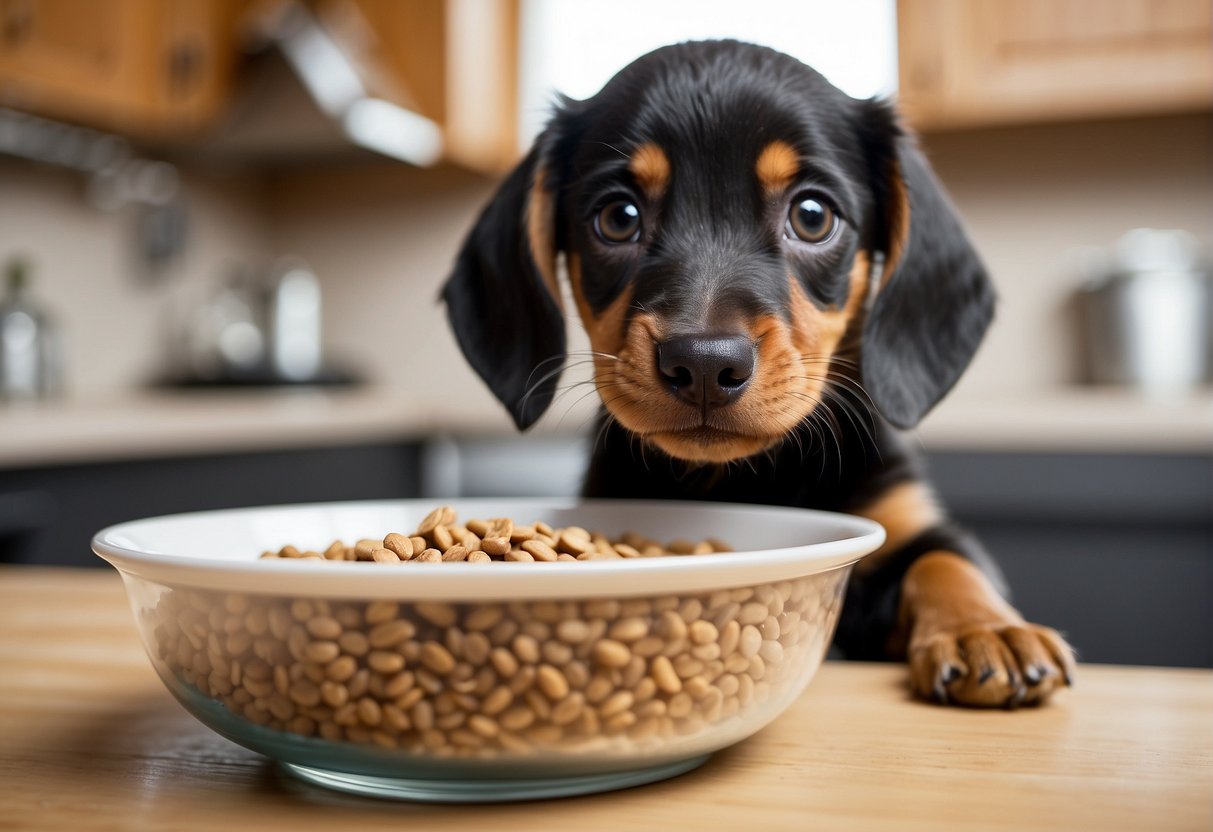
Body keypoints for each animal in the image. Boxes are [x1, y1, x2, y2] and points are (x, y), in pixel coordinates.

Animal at [443, 40, 1072, 708]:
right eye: (617, 217)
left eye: (813, 215)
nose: (703, 362)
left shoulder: (903, 519)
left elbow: (946, 559)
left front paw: (986, 629)